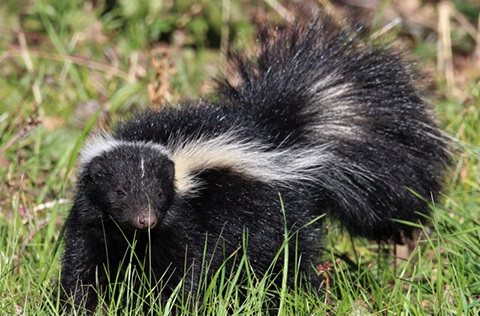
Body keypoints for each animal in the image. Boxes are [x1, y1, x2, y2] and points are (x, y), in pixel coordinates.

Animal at [60, 17, 450, 314]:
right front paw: (78, 306)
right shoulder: (94, 221)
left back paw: (293, 297)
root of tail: (277, 130)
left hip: (274, 214)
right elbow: (84, 266)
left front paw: (173, 305)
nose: (146, 220)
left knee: (285, 259)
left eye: (158, 193)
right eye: (119, 191)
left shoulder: (188, 220)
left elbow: (186, 268)